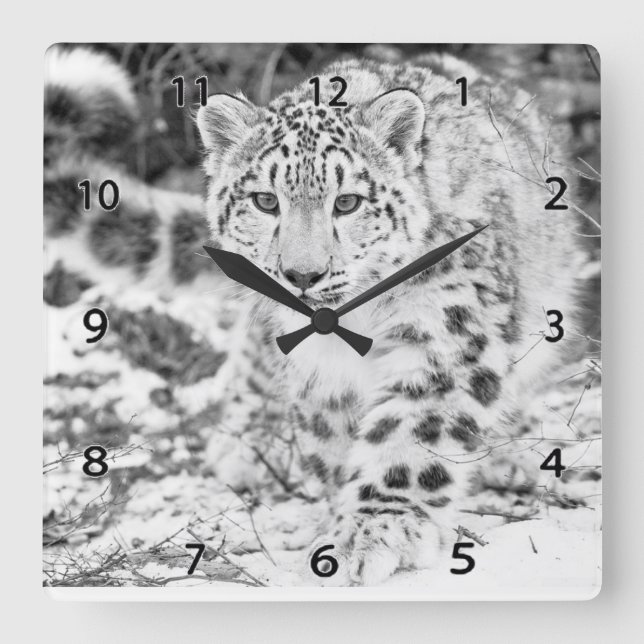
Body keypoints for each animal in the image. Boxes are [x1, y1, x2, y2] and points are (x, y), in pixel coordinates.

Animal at [44, 45, 580, 586]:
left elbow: (411, 429)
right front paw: (340, 522)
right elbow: (332, 437)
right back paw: (247, 443)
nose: (302, 274)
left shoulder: (446, 331)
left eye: (348, 202)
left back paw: (513, 455)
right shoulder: (320, 370)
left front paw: (377, 528)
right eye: (265, 200)